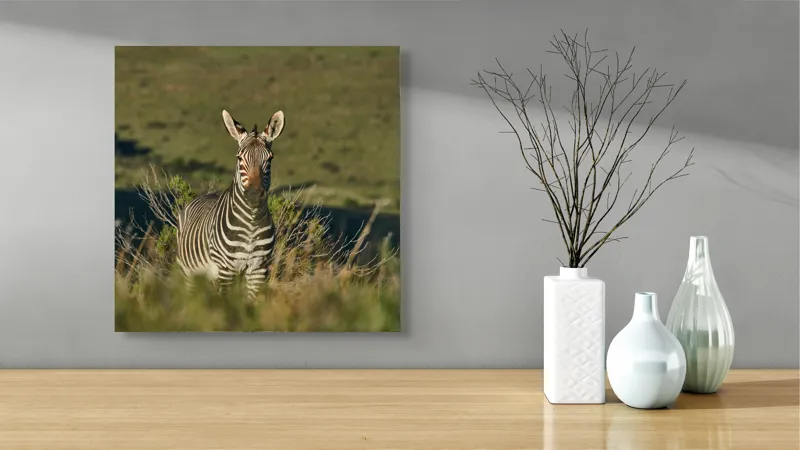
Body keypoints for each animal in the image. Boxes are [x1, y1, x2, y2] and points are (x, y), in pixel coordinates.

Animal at [176, 109, 285, 301]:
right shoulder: (227, 269)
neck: (251, 222)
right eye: (239, 158)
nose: (254, 195)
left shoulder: (258, 269)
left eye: (270, 159)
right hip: (189, 271)